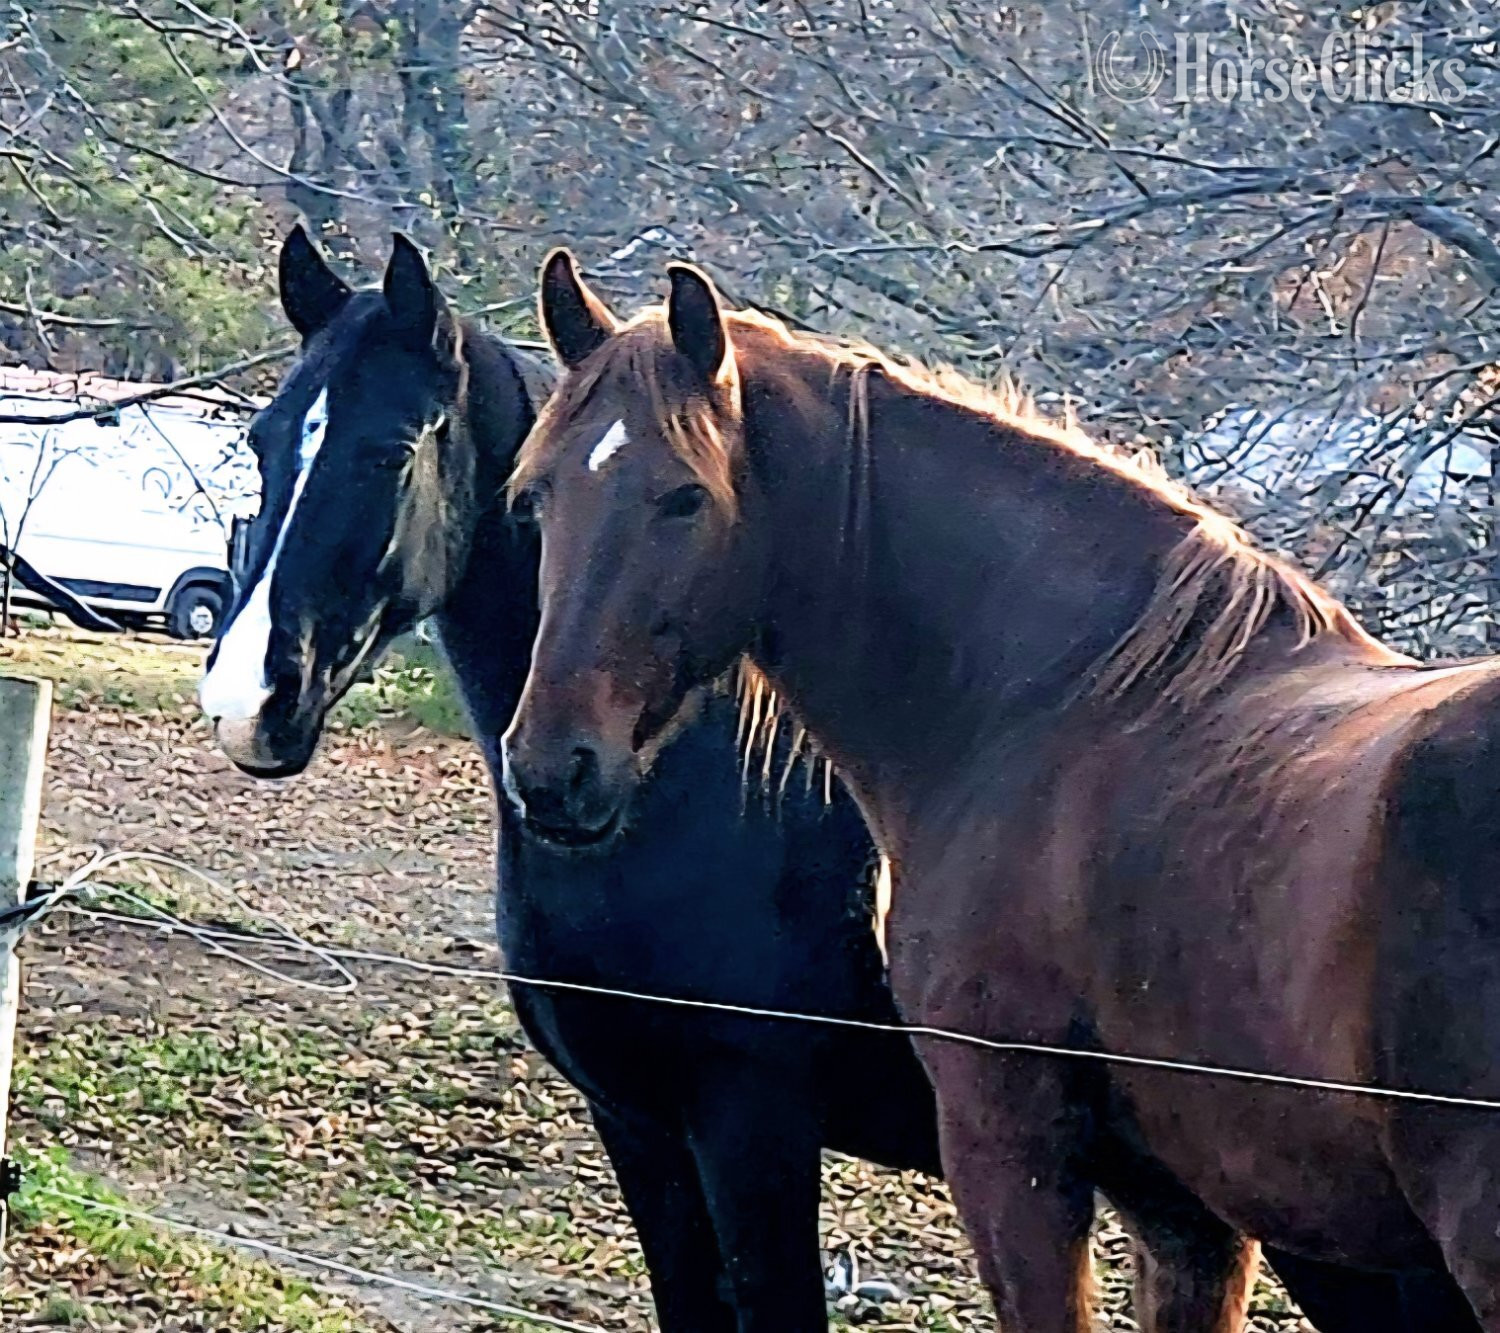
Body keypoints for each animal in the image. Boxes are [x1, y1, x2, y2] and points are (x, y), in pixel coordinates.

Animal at [197, 227, 945, 1333]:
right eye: (262, 441)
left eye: (387, 451)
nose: (248, 699)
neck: (695, 793)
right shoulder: (638, 1121)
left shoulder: (752, 1124)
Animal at [503, 249, 1490, 1331]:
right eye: (535, 496)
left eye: (684, 497)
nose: (553, 767)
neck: (1063, 698)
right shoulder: (1185, 1213)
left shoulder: (1004, 1145)